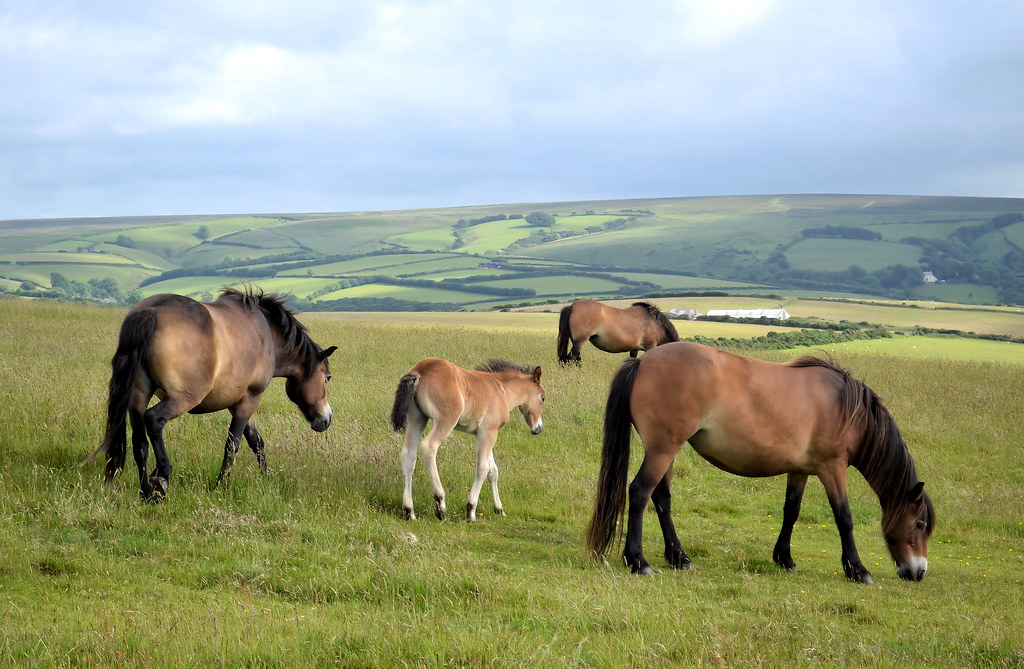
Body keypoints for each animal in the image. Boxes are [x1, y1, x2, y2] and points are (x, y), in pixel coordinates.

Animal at [83, 287, 337, 502]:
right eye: (327, 377)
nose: (326, 419)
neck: (266, 333)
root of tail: (150, 311)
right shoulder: (249, 399)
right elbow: (233, 445)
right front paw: (221, 485)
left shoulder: (237, 402)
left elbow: (256, 441)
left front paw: (268, 475)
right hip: (183, 397)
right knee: (154, 420)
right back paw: (162, 477)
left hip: (138, 397)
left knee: (140, 444)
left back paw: (145, 490)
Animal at [391, 358, 546, 522]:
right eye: (542, 398)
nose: (538, 428)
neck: (502, 390)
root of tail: (420, 370)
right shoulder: (489, 433)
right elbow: (483, 469)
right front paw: (471, 511)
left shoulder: (483, 434)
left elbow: (493, 471)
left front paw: (499, 509)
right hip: (446, 419)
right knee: (428, 447)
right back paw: (440, 505)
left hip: (417, 419)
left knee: (408, 455)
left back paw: (409, 511)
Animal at [585, 342, 934, 584]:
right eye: (919, 525)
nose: (917, 572)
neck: (846, 407)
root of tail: (642, 360)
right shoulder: (832, 468)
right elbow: (844, 518)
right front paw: (857, 570)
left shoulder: (800, 470)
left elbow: (791, 511)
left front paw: (785, 558)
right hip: (662, 450)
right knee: (639, 493)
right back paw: (638, 561)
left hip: (666, 451)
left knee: (661, 498)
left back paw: (679, 558)